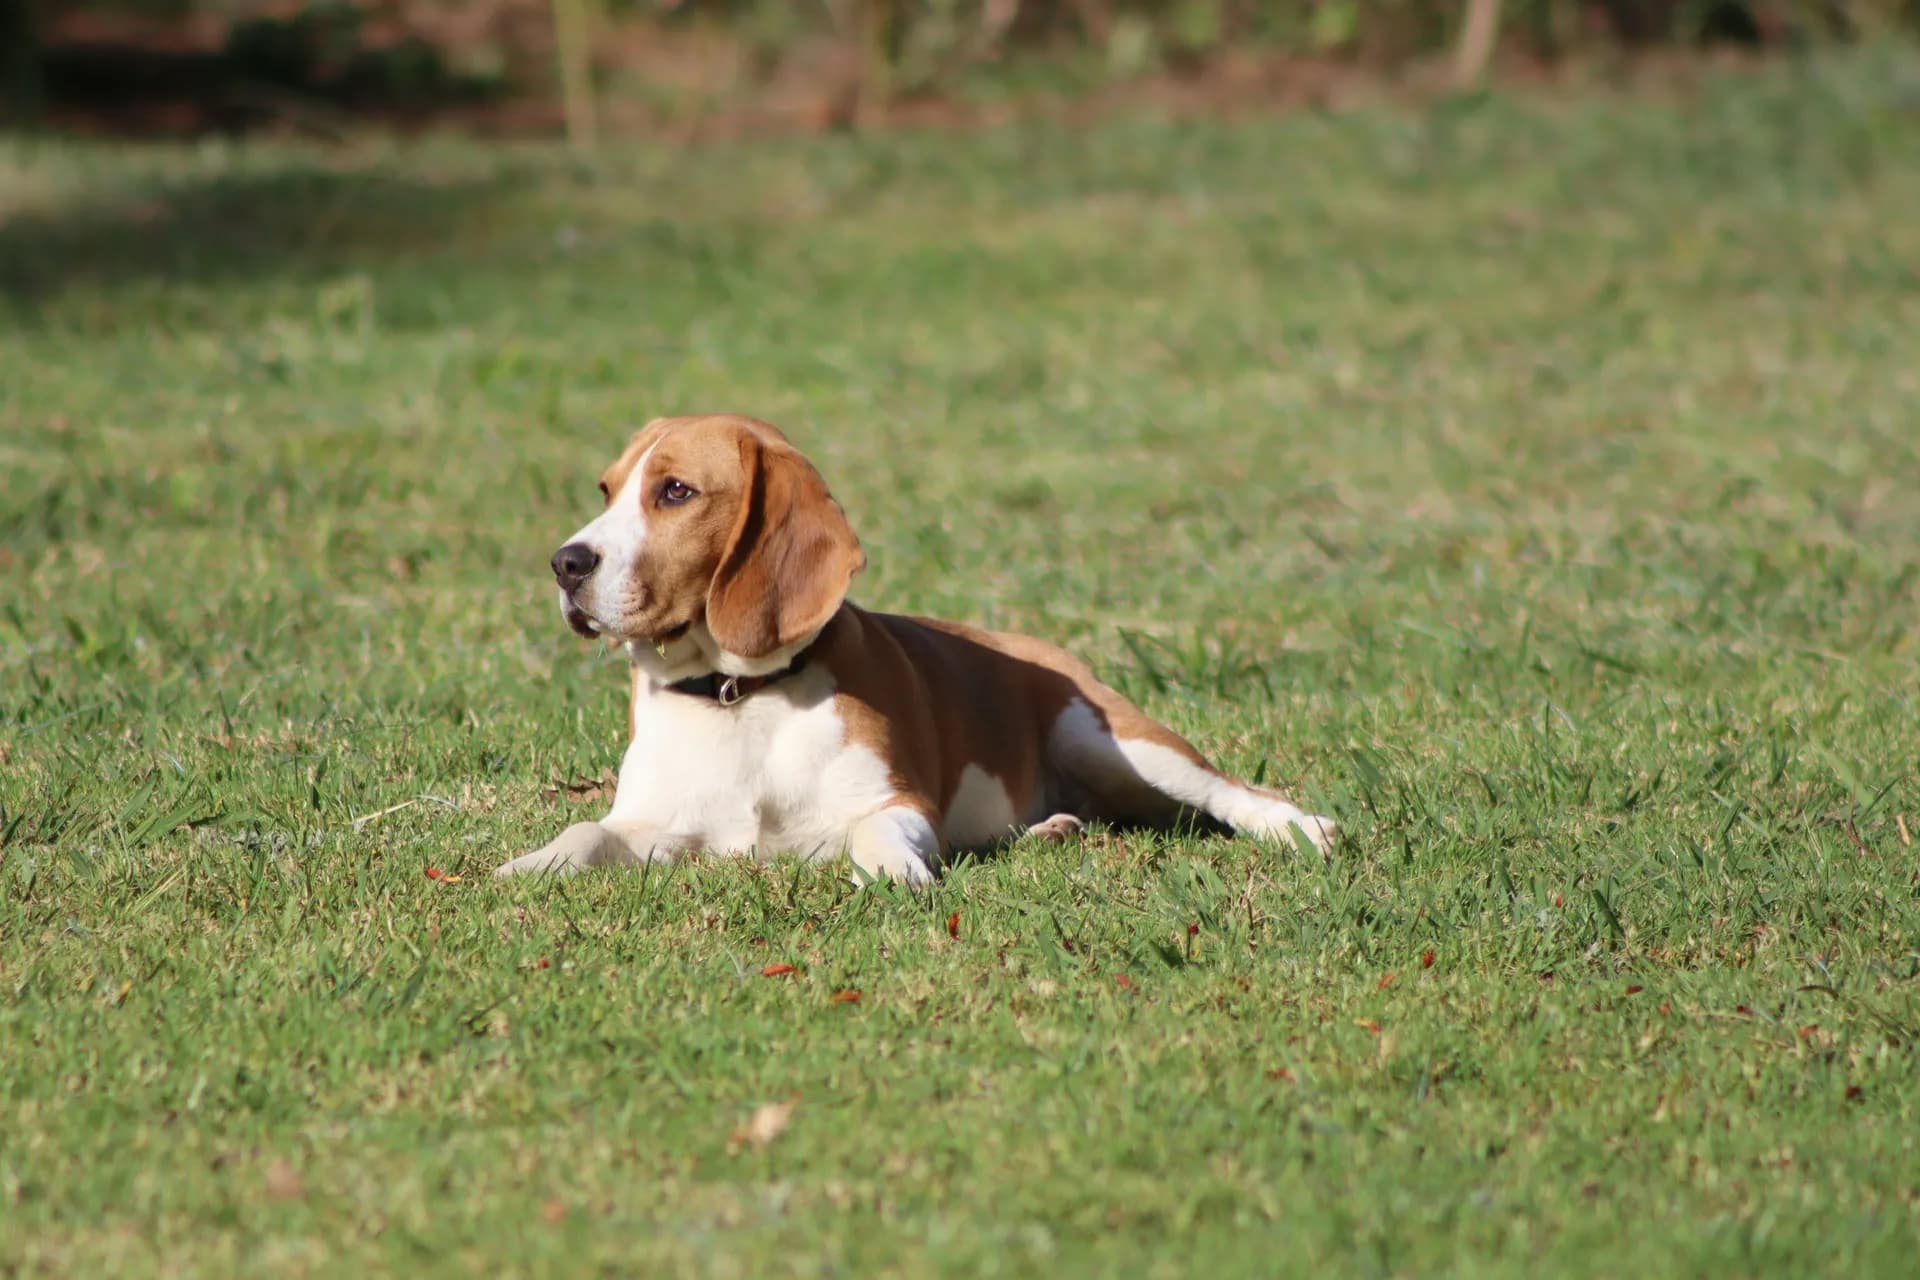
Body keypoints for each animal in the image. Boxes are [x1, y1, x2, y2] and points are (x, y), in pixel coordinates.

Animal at [495, 416, 1336, 886]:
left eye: (674, 491)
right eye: (606, 491)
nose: (565, 565)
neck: (739, 700)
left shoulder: (896, 800)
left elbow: (879, 828)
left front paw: (894, 871)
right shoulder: (654, 825)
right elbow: (586, 832)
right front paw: (527, 866)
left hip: (1110, 738)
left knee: (1231, 793)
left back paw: (1302, 829)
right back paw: (1051, 830)